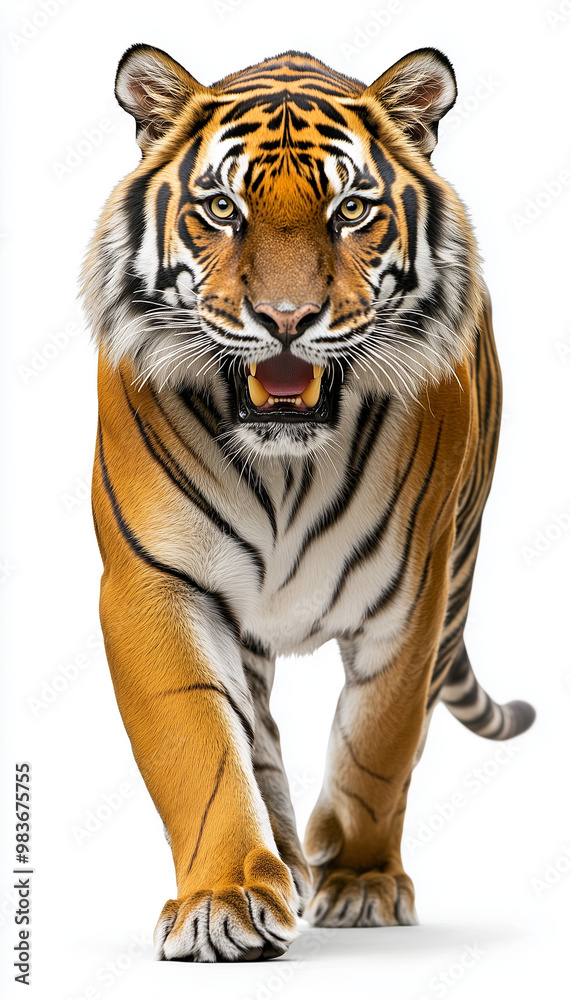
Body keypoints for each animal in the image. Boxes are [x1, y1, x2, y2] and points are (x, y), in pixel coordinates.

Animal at [81, 44, 535, 963]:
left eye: (350, 209)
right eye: (221, 209)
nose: (285, 319)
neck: (285, 464)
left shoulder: (410, 598)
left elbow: (378, 744)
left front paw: (360, 880)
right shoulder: (154, 584)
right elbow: (201, 747)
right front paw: (222, 899)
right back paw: (280, 868)